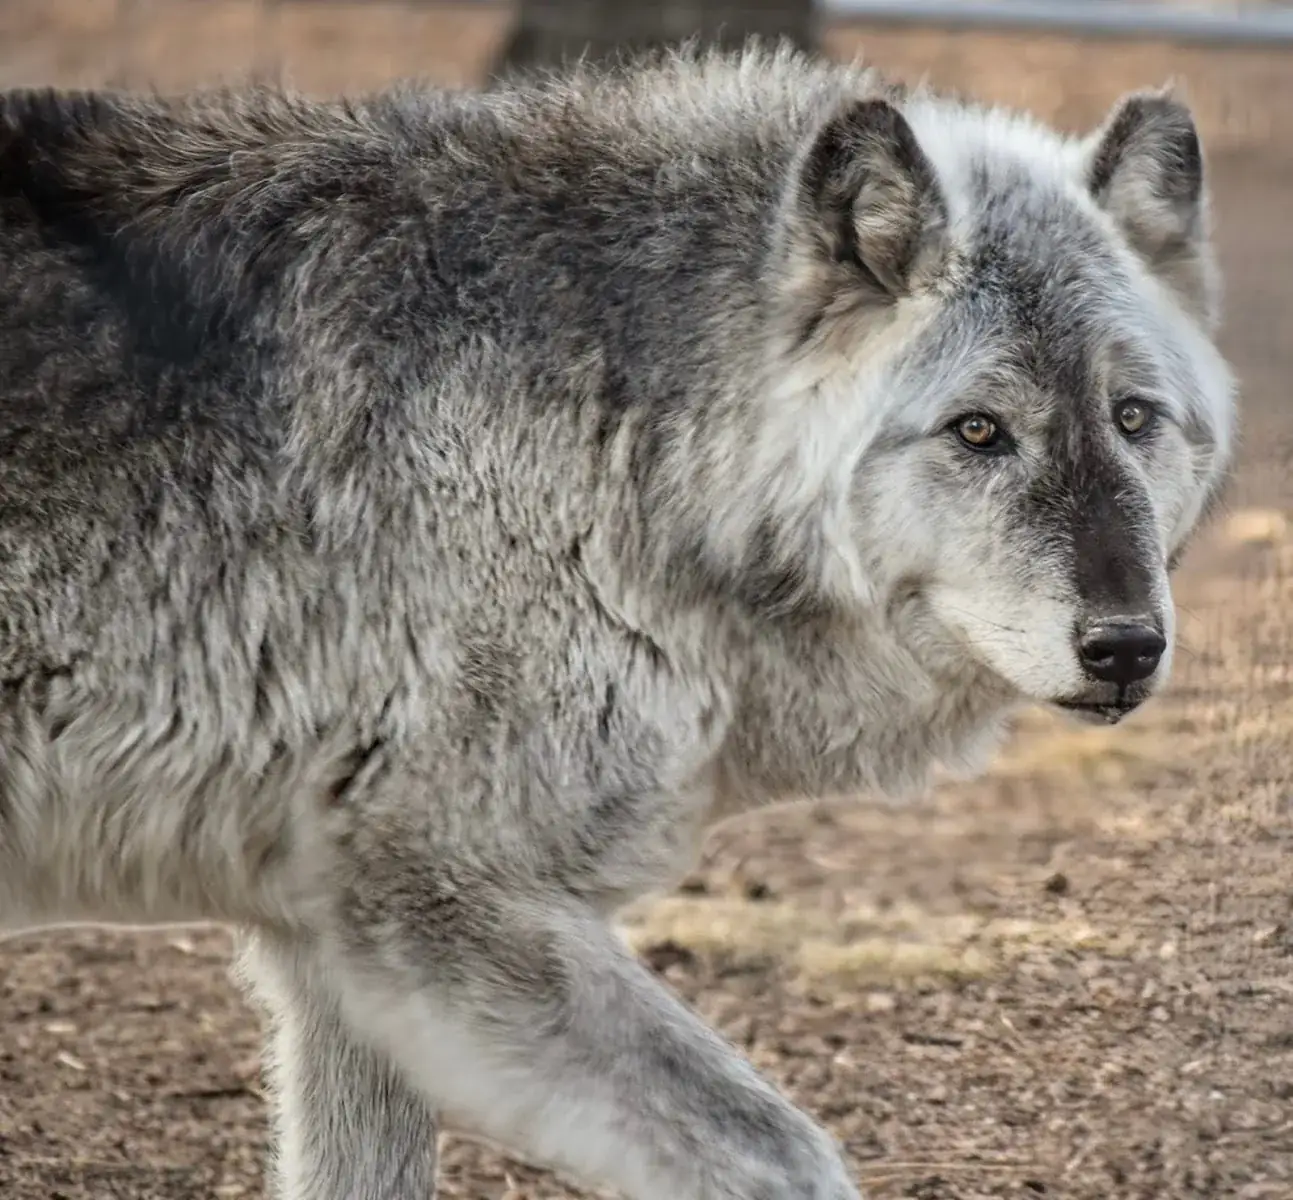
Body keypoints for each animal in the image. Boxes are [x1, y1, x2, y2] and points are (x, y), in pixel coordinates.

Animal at [0, 41, 1234, 1200]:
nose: (1127, 646)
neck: (625, 432)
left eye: (1134, 419)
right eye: (979, 431)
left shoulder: (332, 949)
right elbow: (782, 1155)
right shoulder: (441, 906)